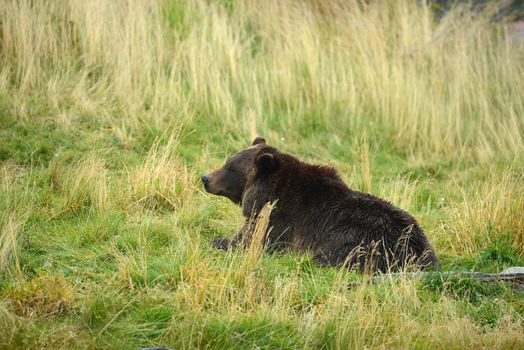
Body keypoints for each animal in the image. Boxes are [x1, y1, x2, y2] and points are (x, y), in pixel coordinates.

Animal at [201, 137, 438, 274]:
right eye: (227, 161)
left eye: (230, 167)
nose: (205, 178)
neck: (266, 194)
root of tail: (418, 252)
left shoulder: (276, 221)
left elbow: (248, 241)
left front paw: (216, 241)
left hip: (360, 237)